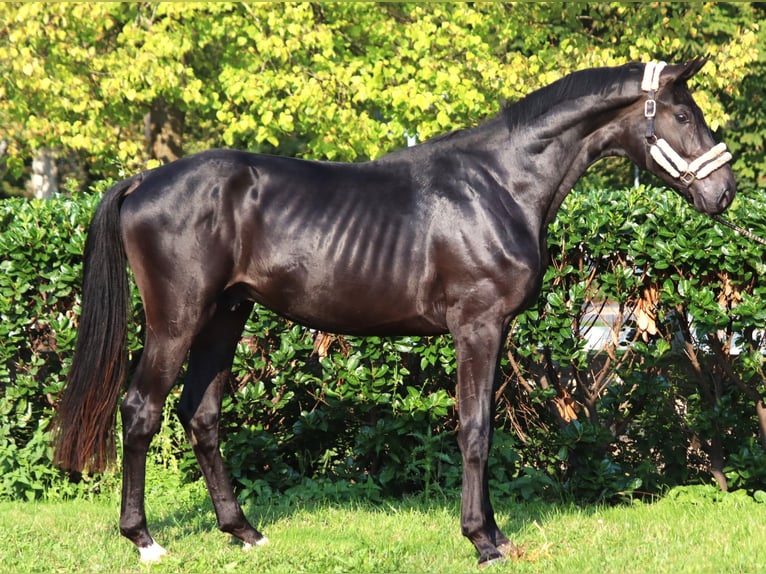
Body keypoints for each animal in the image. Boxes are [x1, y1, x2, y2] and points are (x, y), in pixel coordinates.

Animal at [54, 59, 736, 568]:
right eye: (682, 114)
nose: (724, 193)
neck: (500, 183)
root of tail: (143, 182)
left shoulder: (493, 330)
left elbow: (484, 427)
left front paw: (494, 533)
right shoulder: (477, 326)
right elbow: (475, 429)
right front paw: (482, 541)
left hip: (226, 315)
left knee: (201, 415)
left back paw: (243, 531)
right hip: (178, 318)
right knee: (141, 410)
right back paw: (144, 540)